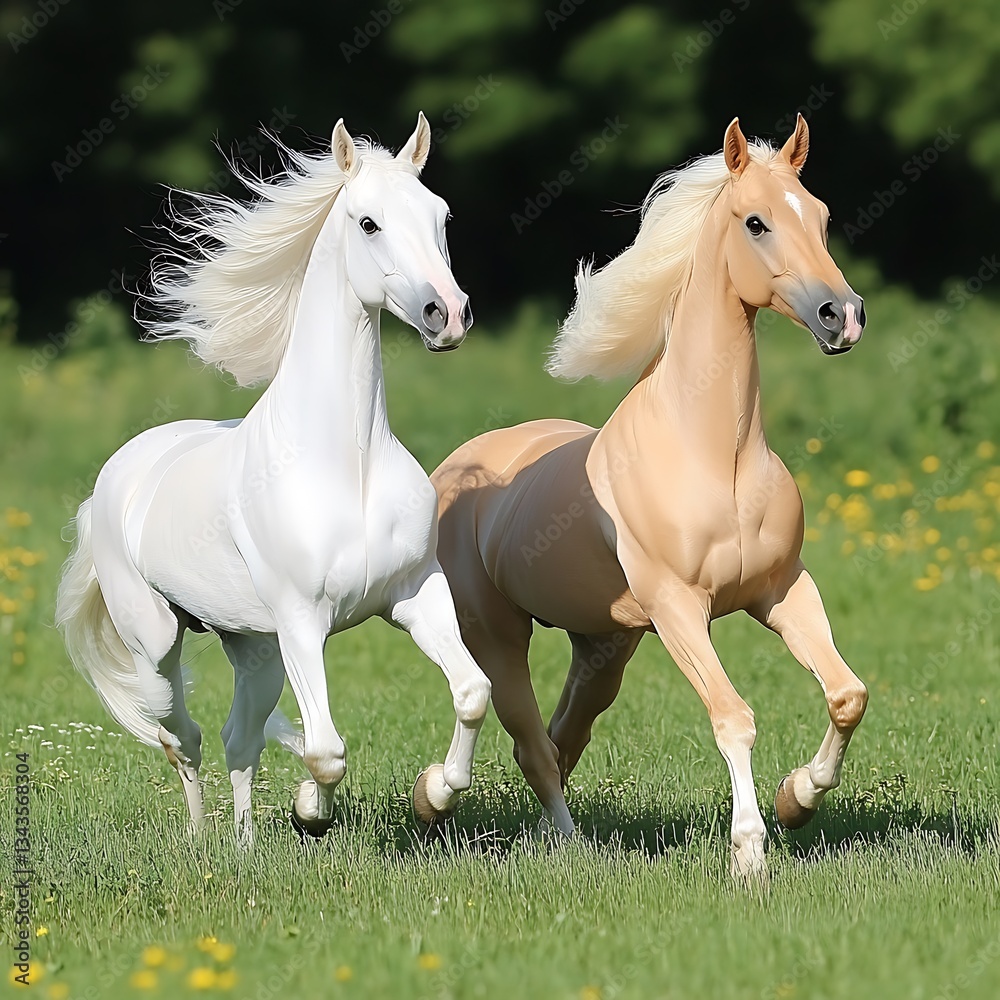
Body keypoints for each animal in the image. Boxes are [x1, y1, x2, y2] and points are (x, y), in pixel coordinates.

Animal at [56, 114, 492, 846]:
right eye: (368, 223)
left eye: (441, 216)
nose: (447, 314)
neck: (347, 463)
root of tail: (115, 481)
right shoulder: (301, 622)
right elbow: (325, 750)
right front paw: (310, 812)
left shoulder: (415, 593)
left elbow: (472, 692)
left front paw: (433, 795)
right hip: (159, 643)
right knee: (183, 737)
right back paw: (204, 843)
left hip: (252, 647)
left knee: (239, 738)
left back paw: (244, 846)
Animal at [431, 115, 867, 879]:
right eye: (756, 222)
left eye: (819, 216)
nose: (840, 315)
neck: (715, 455)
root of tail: (454, 473)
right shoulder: (679, 609)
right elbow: (733, 717)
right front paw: (749, 852)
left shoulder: (781, 591)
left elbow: (846, 695)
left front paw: (797, 800)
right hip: (497, 634)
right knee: (532, 743)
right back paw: (518, 825)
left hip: (603, 647)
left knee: (561, 736)